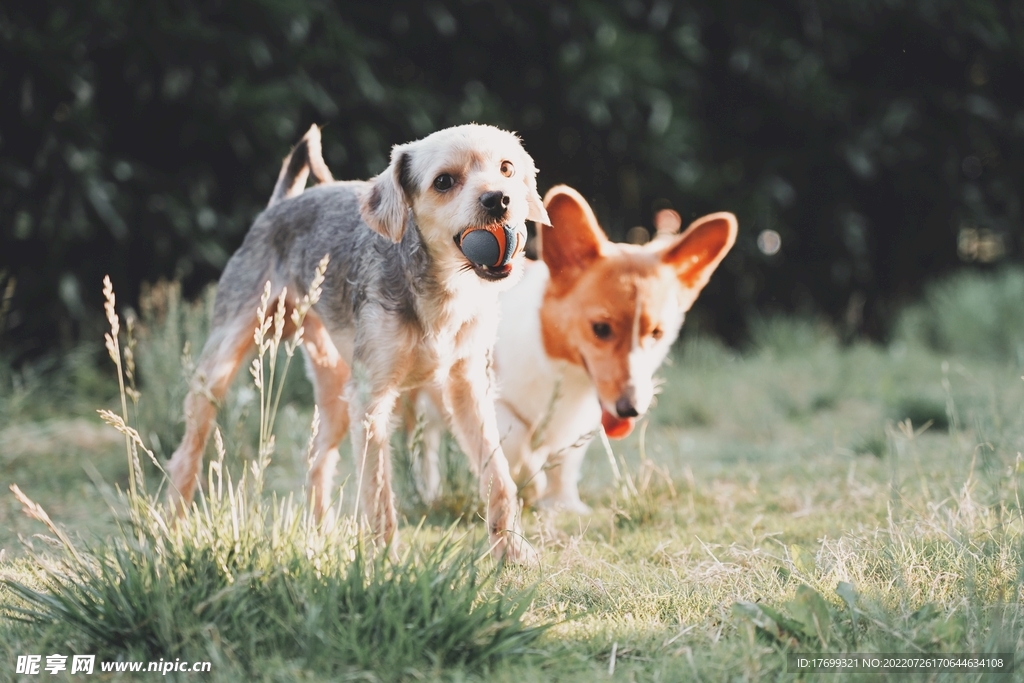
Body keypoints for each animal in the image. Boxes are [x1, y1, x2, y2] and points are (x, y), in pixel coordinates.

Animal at [165, 125, 552, 565]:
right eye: (443, 182)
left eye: (506, 168)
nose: (498, 199)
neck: (442, 287)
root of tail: (280, 204)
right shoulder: (371, 400)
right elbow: (378, 493)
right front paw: (384, 565)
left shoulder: (468, 388)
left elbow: (499, 475)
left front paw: (512, 551)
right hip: (219, 371)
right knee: (187, 454)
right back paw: (170, 530)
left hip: (335, 394)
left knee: (316, 461)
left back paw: (318, 537)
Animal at [407, 185, 737, 511]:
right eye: (601, 329)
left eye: (656, 333)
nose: (631, 409)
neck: (558, 365)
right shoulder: (488, 399)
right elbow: (516, 444)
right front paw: (532, 482)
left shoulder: (583, 419)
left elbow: (565, 462)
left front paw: (563, 502)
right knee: (421, 445)